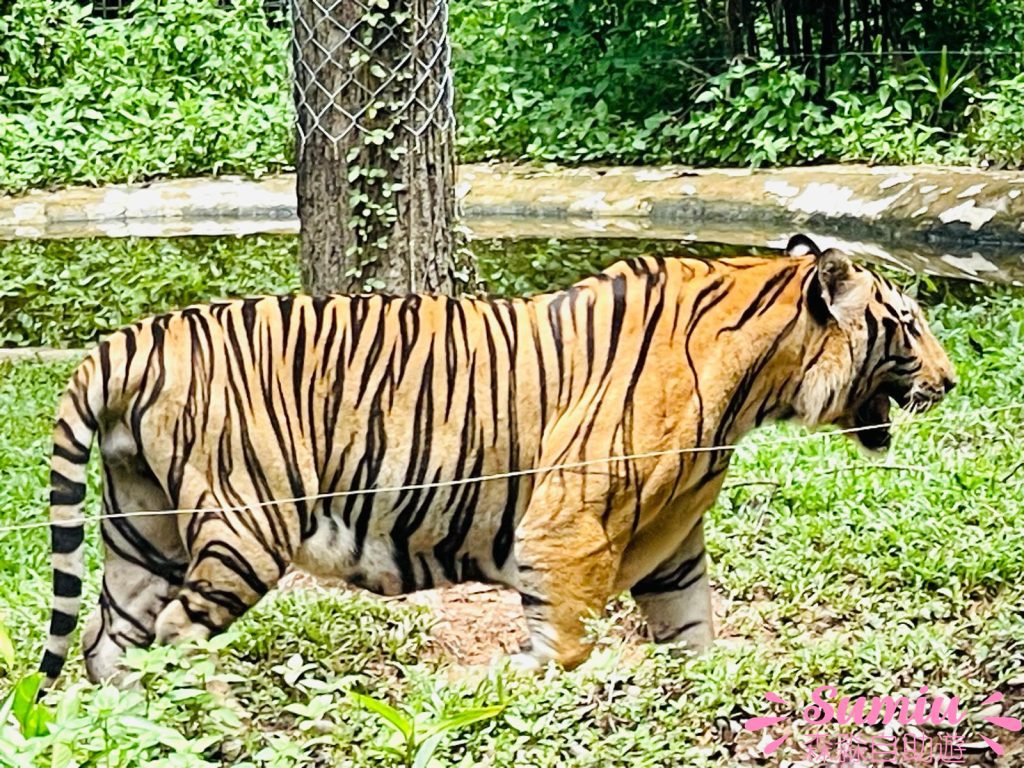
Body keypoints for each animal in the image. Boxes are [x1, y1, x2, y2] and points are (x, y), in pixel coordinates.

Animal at [39, 234, 955, 688]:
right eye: (908, 323)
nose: (951, 382)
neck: (759, 385)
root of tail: (125, 341)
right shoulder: (569, 520)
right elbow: (567, 644)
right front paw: (490, 688)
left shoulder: (672, 545)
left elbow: (693, 631)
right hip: (245, 526)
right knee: (176, 636)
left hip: (143, 530)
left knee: (111, 642)